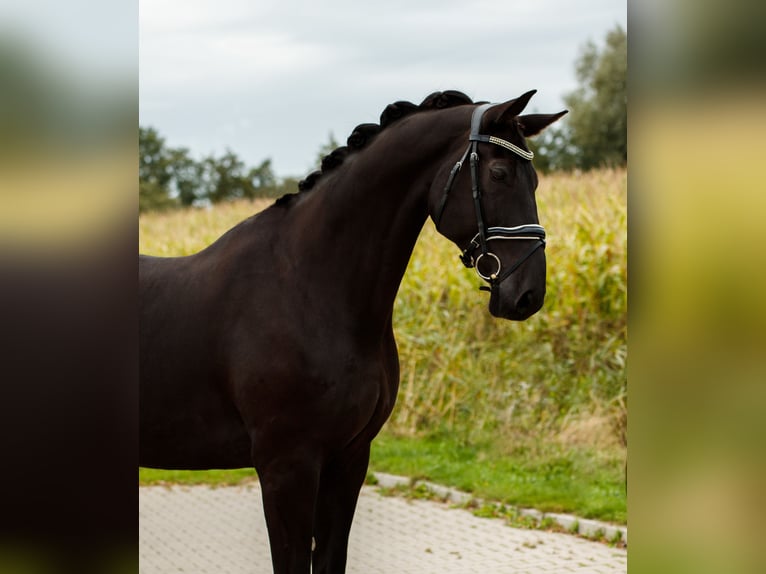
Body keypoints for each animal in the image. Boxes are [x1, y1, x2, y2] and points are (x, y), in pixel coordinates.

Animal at [141, 92, 568, 572]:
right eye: (498, 174)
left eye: (534, 180)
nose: (528, 293)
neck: (310, 288)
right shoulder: (286, 467)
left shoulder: (348, 460)